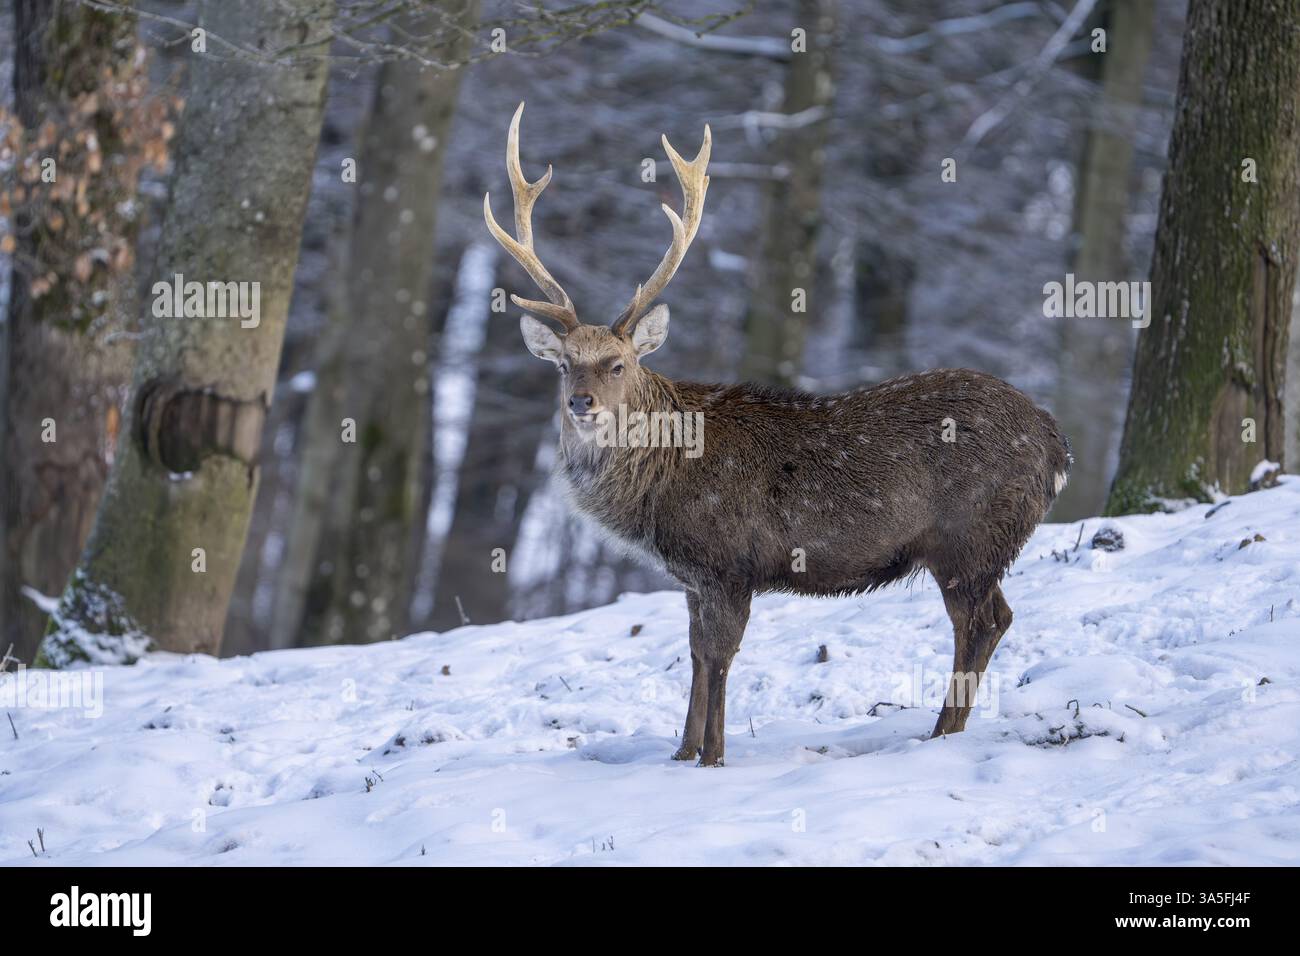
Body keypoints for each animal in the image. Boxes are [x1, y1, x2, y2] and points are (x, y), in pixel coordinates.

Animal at [484, 103, 1072, 766]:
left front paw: (713, 757)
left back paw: (942, 733)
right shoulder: (693, 579)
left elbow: (719, 659)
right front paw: (682, 752)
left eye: (618, 364)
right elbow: (694, 656)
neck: (661, 481)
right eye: (564, 364)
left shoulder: (728, 563)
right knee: (994, 618)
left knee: (983, 621)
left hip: (970, 536)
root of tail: (1056, 444)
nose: (580, 402)